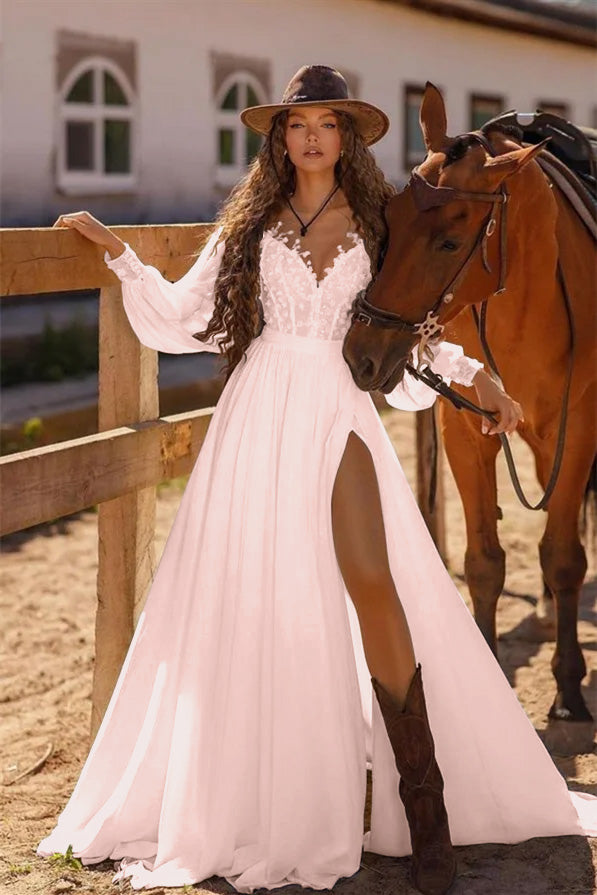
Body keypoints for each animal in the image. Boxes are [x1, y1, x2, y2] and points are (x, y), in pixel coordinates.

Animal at [342, 84, 596, 756]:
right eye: (389, 220)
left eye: (449, 243)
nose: (360, 354)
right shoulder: (466, 433)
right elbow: (485, 563)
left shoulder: (578, 435)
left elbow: (564, 557)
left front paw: (569, 691)